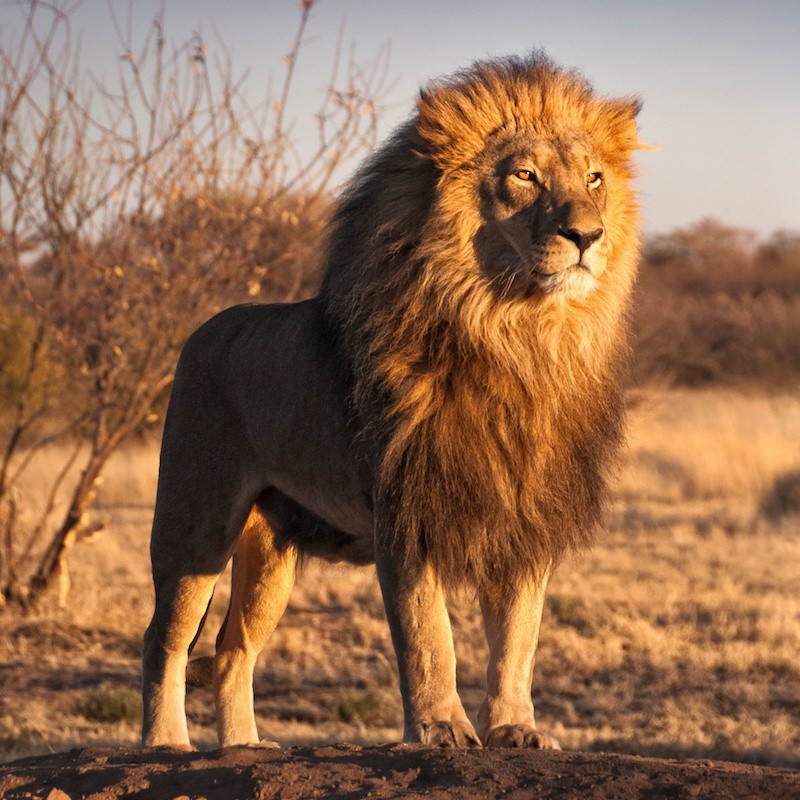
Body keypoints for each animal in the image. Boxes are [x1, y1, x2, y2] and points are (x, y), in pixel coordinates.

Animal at [142, 53, 649, 750]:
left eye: (595, 178)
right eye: (524, 175)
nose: (587, 235)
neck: (517, 337)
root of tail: (202, 330)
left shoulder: (525, 515)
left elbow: (518, 638)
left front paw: (515, 729)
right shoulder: (406, 507)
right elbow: (427, 634)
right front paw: (441, 729)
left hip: (272, 549)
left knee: (232, 649)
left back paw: (244, 747)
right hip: (196, 521)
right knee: (163, 638)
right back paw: (165, 743)